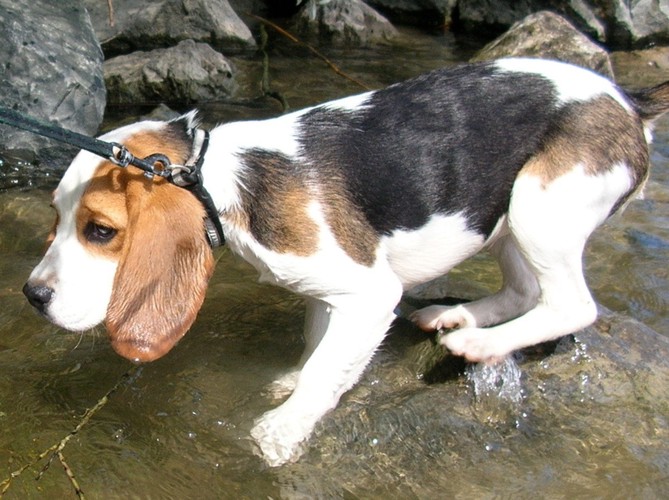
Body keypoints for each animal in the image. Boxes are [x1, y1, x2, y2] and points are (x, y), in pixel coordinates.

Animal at [22, 57, 668, 464]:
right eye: (57, 218)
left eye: (101, 230)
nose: (32, 297)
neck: (219, 179)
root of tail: (627, 99)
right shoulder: (326, 291)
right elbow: (319, 348)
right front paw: (292, 379)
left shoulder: (369, 294)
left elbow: (325, 370)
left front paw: (284, 428)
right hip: (503, 215)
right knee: (524, 292)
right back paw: (453, 317)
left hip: (538, 207)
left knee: (570, 305)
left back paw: (478, 342)